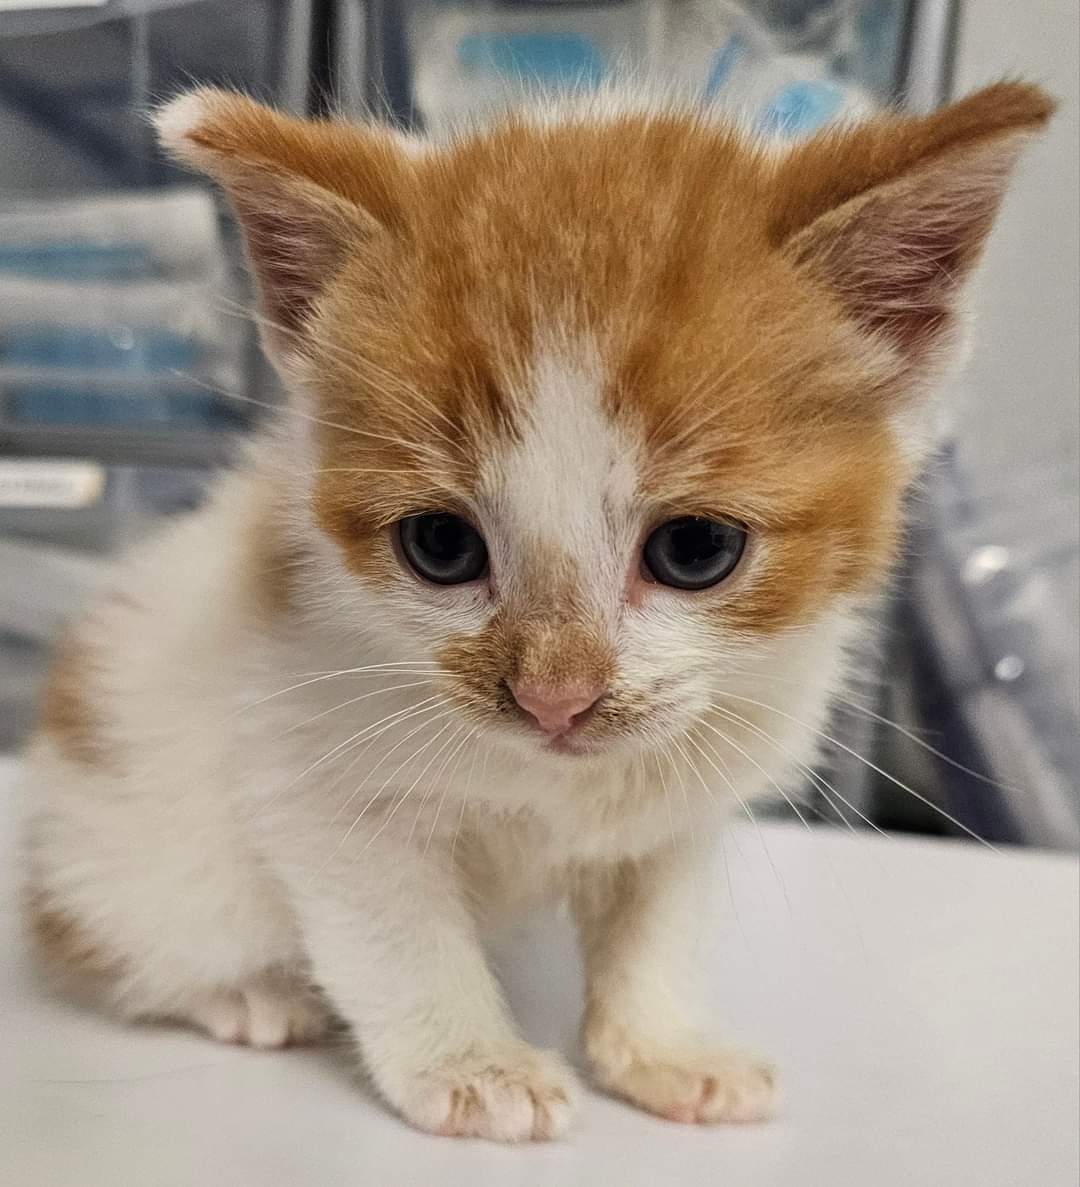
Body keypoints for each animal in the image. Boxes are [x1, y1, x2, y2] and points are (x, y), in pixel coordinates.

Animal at [23, 81, 1058, 1139]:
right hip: (142, 854)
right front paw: (472, 1064)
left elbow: (657, 918)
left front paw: (665, 1047)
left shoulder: (689, 790)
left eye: (695, 549)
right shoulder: (310, 766)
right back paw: (246, 991)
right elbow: (396, 931)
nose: (555, 698)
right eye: (440, 546)